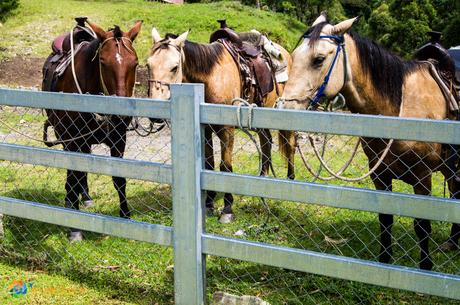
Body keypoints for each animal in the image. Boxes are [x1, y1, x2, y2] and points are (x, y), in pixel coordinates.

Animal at [41, 18, 142, 240]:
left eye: (135, 63)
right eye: (103, 63)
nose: (122, 114)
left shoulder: (118, 138)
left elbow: (119, 179)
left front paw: (125, 217)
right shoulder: (72, 140)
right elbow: (72, 177)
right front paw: (74, 228)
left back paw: (85, 196)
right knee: (75, 172)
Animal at [146, 26, 292, 221]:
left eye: (174, 67)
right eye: (148, 65)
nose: (155, 115)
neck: (211, 77)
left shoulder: (226, 130)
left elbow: (225, 166)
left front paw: (227, 209)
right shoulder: (206, 130)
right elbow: (209, 164)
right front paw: (208, 204)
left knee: (291, 143)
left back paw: (291, 177)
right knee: (266, 141)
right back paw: (262, 178)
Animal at [276, 13, 460, 268]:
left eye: (318, 59)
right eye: (293, 57)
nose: (286, 108)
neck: (399, 109)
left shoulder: (423, 178)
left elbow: (422, 225)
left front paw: (426, 266)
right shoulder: (379, 176)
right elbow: (385, 219)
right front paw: (384, 260)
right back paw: (452, 241)